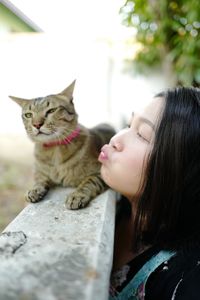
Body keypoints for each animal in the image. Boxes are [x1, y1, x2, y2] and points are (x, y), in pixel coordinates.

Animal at [9, 81, 115, 210]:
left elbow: (89, 181)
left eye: (51, 110)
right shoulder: (39, 173)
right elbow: (39, 180)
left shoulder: (102, 172)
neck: (54, 149)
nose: (37, 124)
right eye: (28, 115)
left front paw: (77, 195)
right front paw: (34, 189)